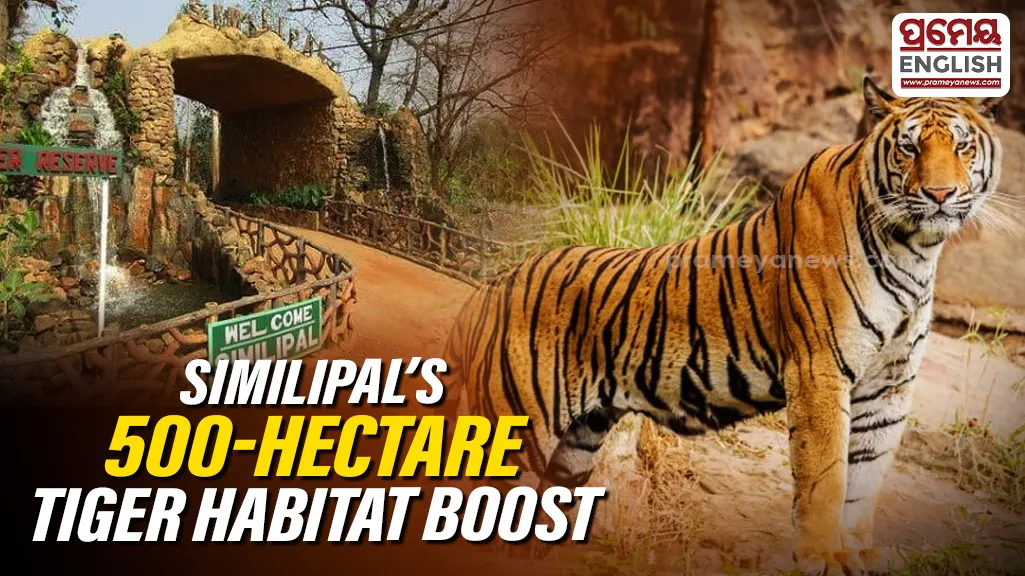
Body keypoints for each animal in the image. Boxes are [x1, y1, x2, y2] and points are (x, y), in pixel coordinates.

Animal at [439, 78, 1003, 575]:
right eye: (909, 148)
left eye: (962, 146)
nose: (939, 193)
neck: (915, 248)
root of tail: (490, 289)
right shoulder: (820, 372)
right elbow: (827, 475)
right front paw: (824, 556)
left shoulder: (890, 385)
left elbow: (867, 477)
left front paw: (859, 553)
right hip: (513, 430)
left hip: (576, 444)